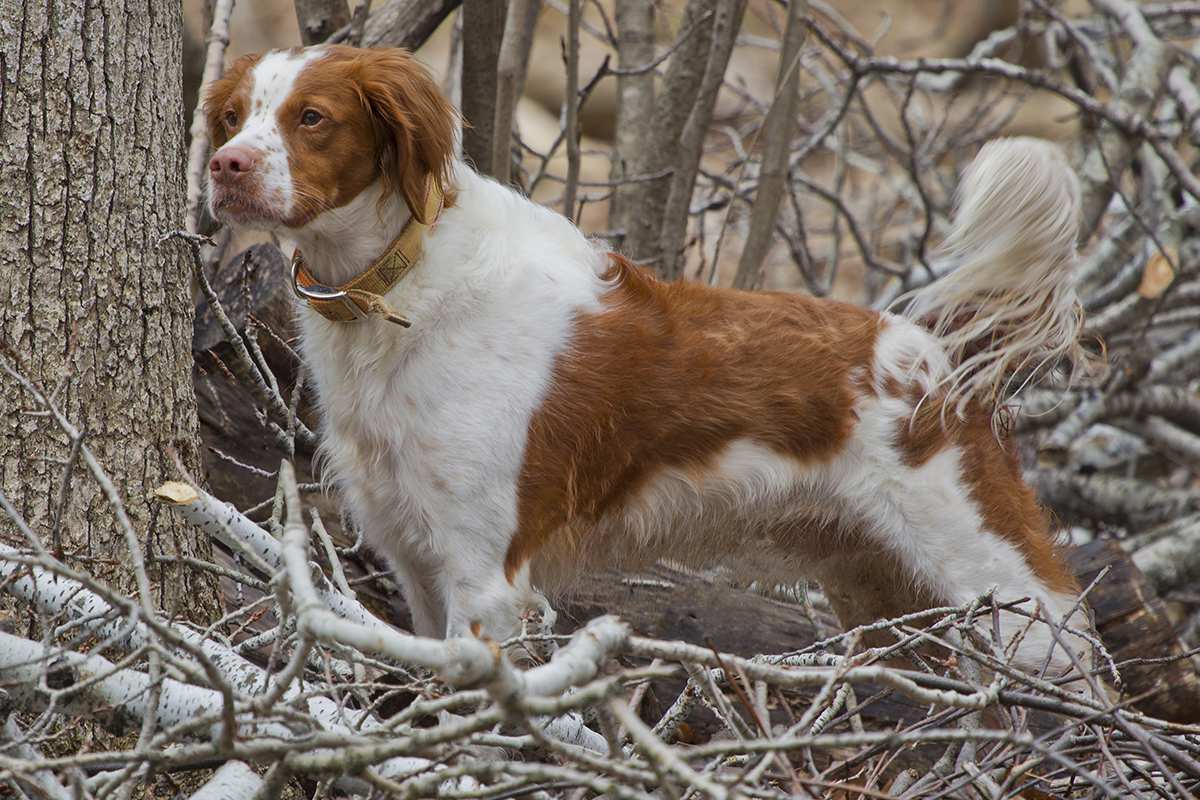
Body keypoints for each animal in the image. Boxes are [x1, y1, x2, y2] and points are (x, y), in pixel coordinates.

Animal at [208, 43, 1099, 671]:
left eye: (312, 117)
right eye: (233, 117)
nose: (225, 167)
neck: (400, 286)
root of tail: (939, 359)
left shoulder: (483, 571)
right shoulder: (417, 561)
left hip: (1005, 593)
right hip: (887, 601)